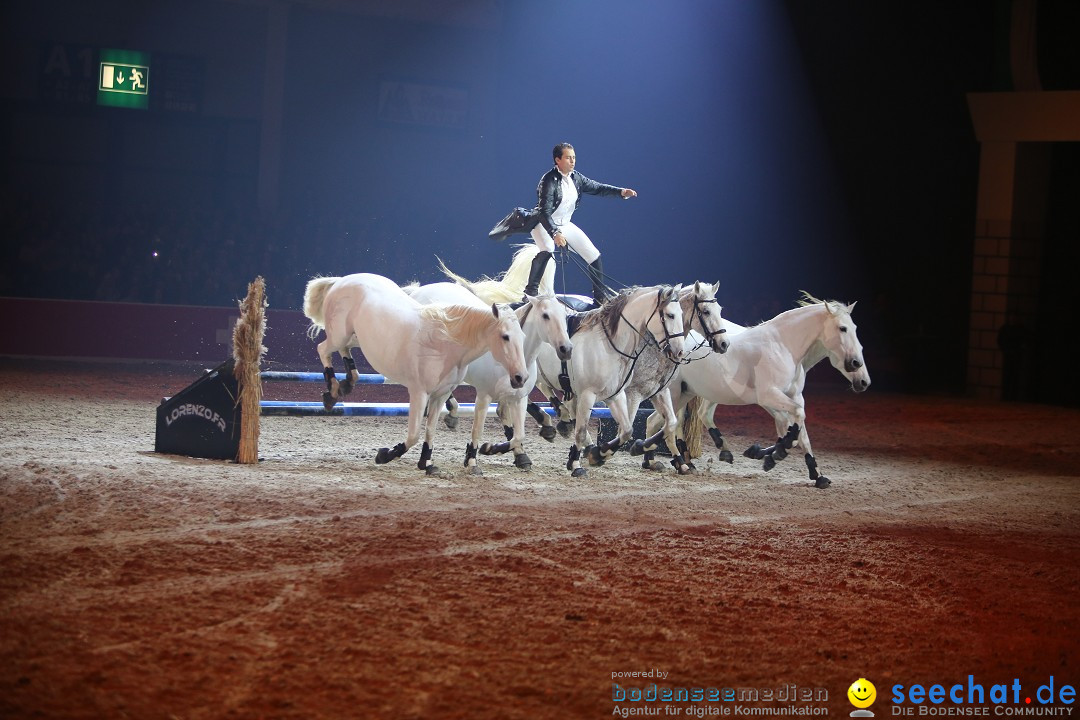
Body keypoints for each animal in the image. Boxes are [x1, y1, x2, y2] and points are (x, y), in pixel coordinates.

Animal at [304, 273, 527, 474]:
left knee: (345, 352)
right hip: (339, 336)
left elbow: (430, 430)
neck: (444, 343)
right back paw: (332, 392)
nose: (520, 378)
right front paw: (384, 455)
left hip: (355, 338)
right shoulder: (419, 393)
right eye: (505, 336)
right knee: (323, 350)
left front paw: (426, 464)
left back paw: (348, 383)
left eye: (522, 336)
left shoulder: (440, 395)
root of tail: (342, 280)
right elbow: (413, 435)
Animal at [403, 280, 574, 472]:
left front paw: (493, 449)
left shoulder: (519, 398)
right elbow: (478, 429)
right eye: (545, 315)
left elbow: (519, 434)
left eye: (564, 315)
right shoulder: (484, 395)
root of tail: (418, 290)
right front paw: (471, 460)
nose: (566, 348)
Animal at [648, 293, 868, 490]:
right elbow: (791, 424)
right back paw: (675, 462)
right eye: (842, 328)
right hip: (676, 393)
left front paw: (817, 475)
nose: (861, 376)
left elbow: (800, 432)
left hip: (688, 393)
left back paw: (660, 461)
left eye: (855, 328)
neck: (783, 346)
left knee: (671, 421)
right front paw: (772, 454)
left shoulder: (794, 397)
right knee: (664, 422)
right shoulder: (768, 396)